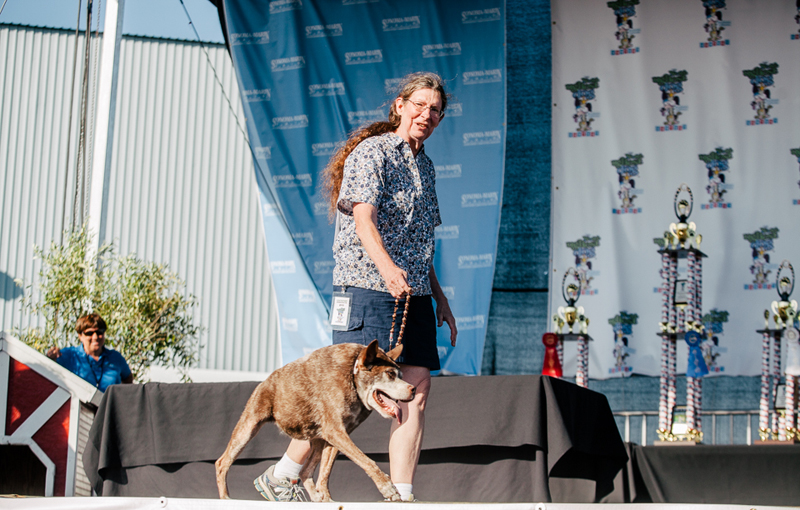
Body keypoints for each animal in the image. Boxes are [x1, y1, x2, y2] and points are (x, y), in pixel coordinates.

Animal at [214, 340, 412, 500]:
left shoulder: (338, 435)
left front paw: (326, 498)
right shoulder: (335, 431)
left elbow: (325, 472)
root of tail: (266, 381)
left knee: (305, 470)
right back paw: (225, 498)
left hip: (317, 439)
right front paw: (387, 487)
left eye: (401, 376)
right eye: (390, 374)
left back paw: (318, 498)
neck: (352, 376)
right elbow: (367, 461)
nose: (413, 389)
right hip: (248, 427)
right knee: (222, 463)